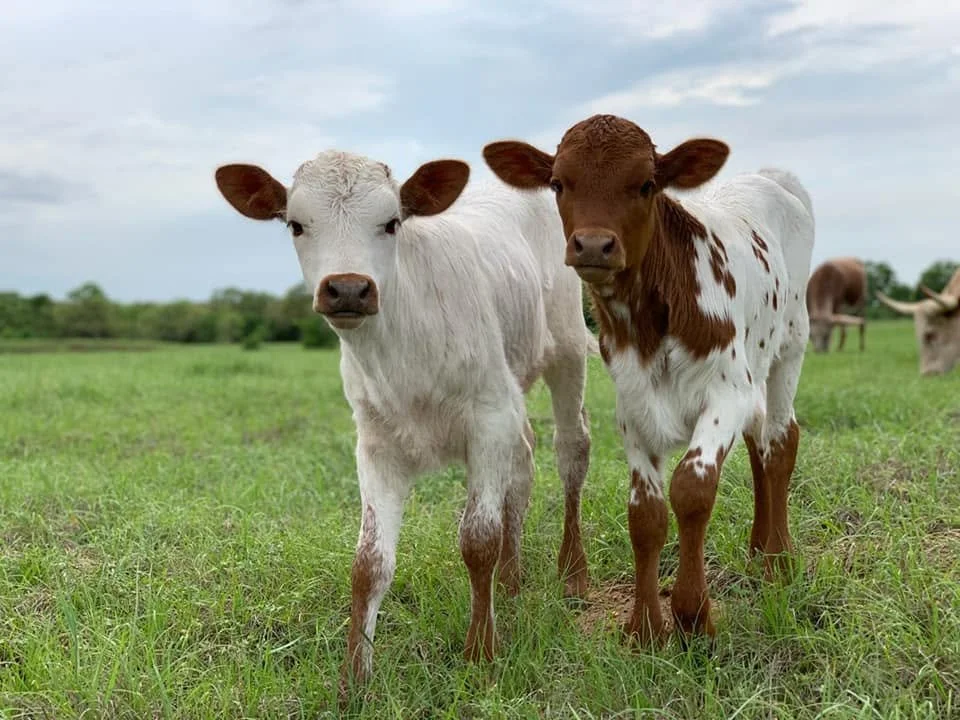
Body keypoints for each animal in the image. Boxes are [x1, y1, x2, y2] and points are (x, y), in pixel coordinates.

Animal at [214, 151, 596, 692]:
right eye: (296, 224)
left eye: (391, 222)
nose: (348, 289)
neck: (403, 344)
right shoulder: (376, 444)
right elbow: (368, 564)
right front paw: (354, 680)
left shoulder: (487, 419)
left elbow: (477, 541)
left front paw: (481, 653)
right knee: (523, 463)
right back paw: (511, 580)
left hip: (566, 345)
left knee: (571, 450)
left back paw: (573, 574)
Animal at [483, 114, 814, 645]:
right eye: (557, 182)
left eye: (646, 184)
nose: (593, 244)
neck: (652, 317)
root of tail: (768, 177)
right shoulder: (632, 408)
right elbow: (645, 514)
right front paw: (644, 626)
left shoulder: (726, 392)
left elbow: (692, 490)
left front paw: (692, 614)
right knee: (759, 440)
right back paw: (758, 548)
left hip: (790, 346)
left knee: (781, 441)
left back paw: (779, 561)